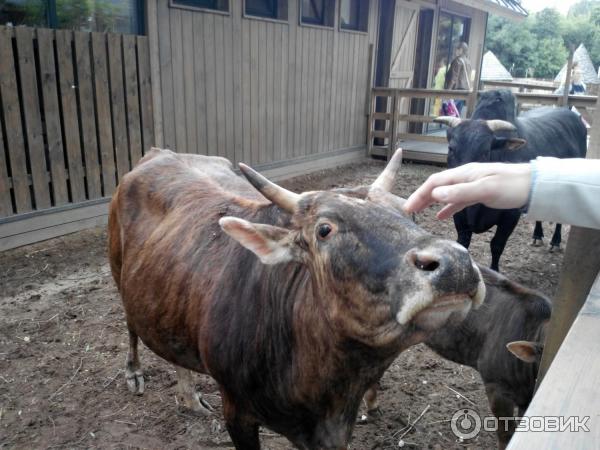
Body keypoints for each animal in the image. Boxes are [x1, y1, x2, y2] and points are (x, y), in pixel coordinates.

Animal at [106, 146, 482, 448]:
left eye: (411, 213)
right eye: (324, 229)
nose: (456, 263)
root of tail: (157, 153)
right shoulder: (237, 413)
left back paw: (188, 394)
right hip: (118, 268)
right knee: (131, 324)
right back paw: (134, 371)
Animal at [436, 89, 584, 268]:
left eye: (485, 152)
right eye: (451, 148)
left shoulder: (510, 216)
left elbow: (497, 245)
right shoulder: (459, 215)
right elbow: (463, 243)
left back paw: (555, 241)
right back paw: (537, 235)